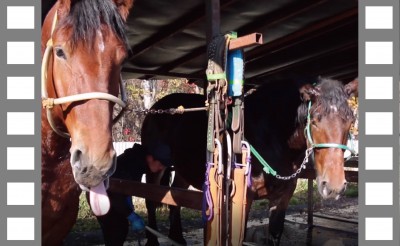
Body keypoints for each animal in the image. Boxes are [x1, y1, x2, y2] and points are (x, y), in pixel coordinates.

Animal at [139, 78, 358, 245]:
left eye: (350, 120)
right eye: (314, 120)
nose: (334, 187)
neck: (271, 135)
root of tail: (156, 109)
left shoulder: (283, 197)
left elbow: (274, 234)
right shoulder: (242, 198)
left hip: (184, 170)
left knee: (175, 198)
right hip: (154, 166)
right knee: (150, 199)